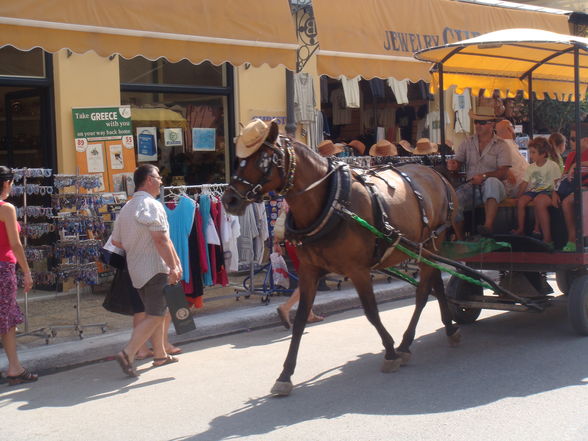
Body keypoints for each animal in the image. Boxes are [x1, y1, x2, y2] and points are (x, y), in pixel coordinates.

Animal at [223, 119, 462, 396]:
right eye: (240, 159)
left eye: (262, 159)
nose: (229, 199)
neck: (332, 201)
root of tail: (437, 175)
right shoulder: (308, 271)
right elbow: (301, 318)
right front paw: (285, 374)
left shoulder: (358, 270)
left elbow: (371, 312)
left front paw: (390, 351)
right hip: (427, 249)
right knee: (436, 283)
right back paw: (449, 328)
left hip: (433, 243)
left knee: (423, 293)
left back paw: (405, 343)